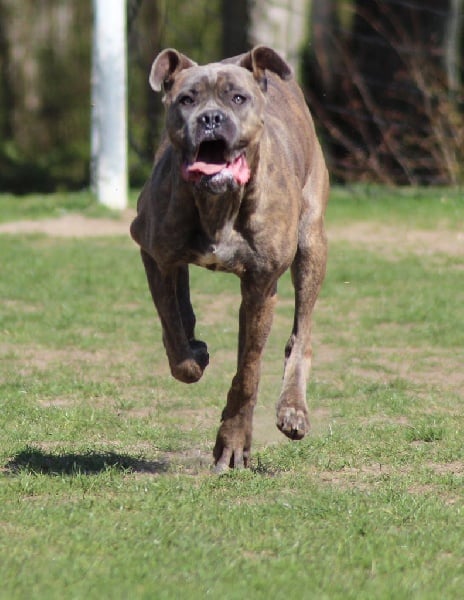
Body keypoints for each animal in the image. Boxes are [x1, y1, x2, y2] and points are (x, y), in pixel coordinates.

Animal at [130, 46, 329, 472]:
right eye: (187, 100)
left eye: (237, 98)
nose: (210, 118)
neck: (218, 202)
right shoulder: (155, 252)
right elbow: (174, 332)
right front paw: (191, 352)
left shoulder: (261, 286)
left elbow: (248, 372)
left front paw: (233, 443)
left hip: (311, 244)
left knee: (301, 332)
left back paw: (293, 409)